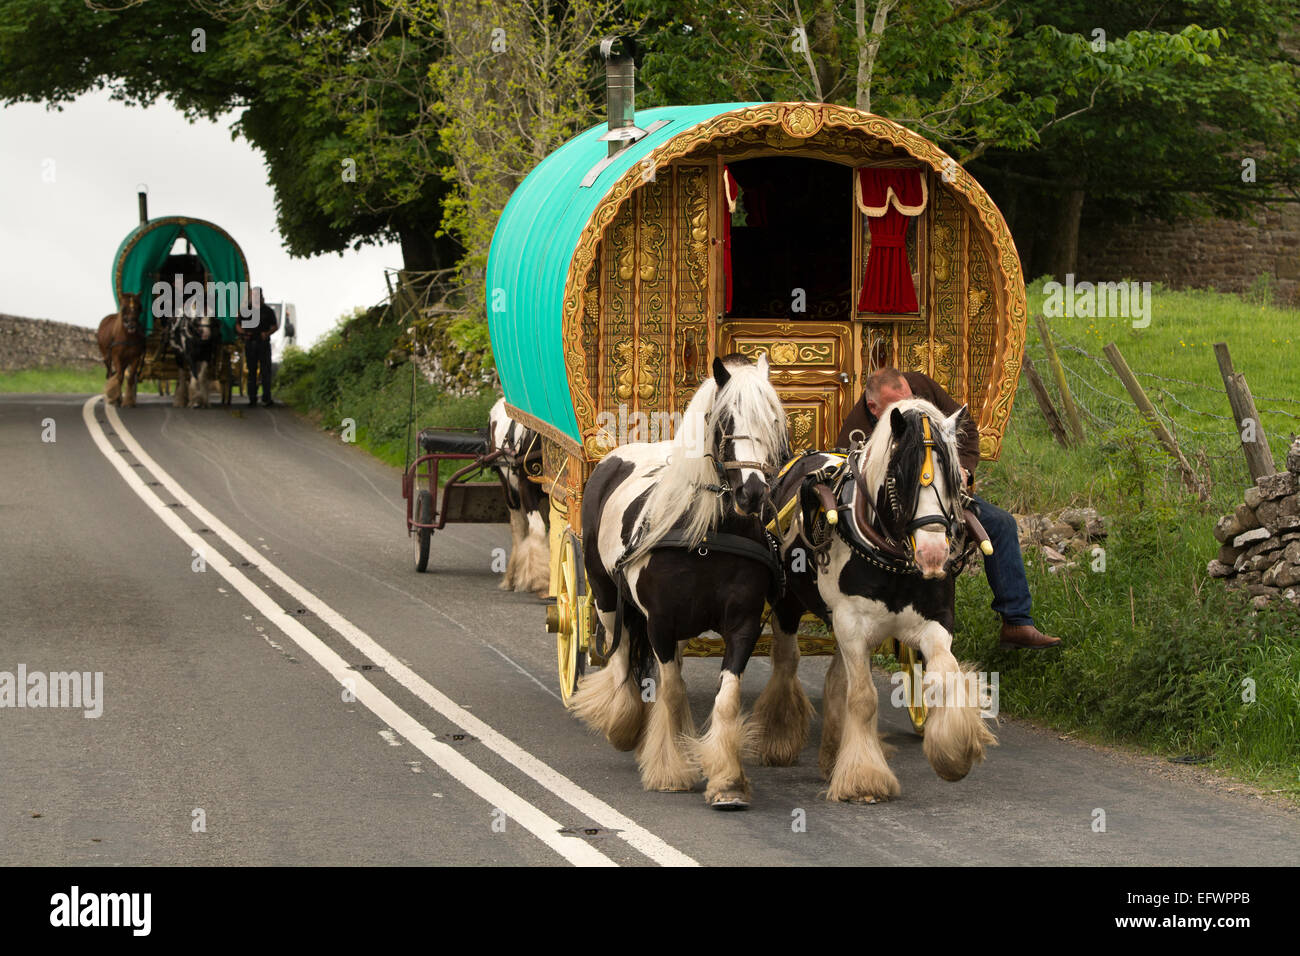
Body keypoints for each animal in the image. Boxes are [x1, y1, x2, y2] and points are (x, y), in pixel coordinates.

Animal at [488, 398, 548, 595]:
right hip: (509, 489)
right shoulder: (525, 488)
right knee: (519, 527)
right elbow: (537, 529)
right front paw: (539, 580)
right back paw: (512, 578)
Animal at [759, 400, 998, 806]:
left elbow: (945, 676)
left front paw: (954, 751)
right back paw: (781, 737)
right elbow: (863, 699)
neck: (891, 555)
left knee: (835, 678)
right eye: (899, 476)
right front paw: (864, 779)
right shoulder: (852, 624)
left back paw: (832, 753)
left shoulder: (936, 621)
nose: (933, 555)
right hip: (790, 605)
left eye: (955, 478)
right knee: (787, 662)